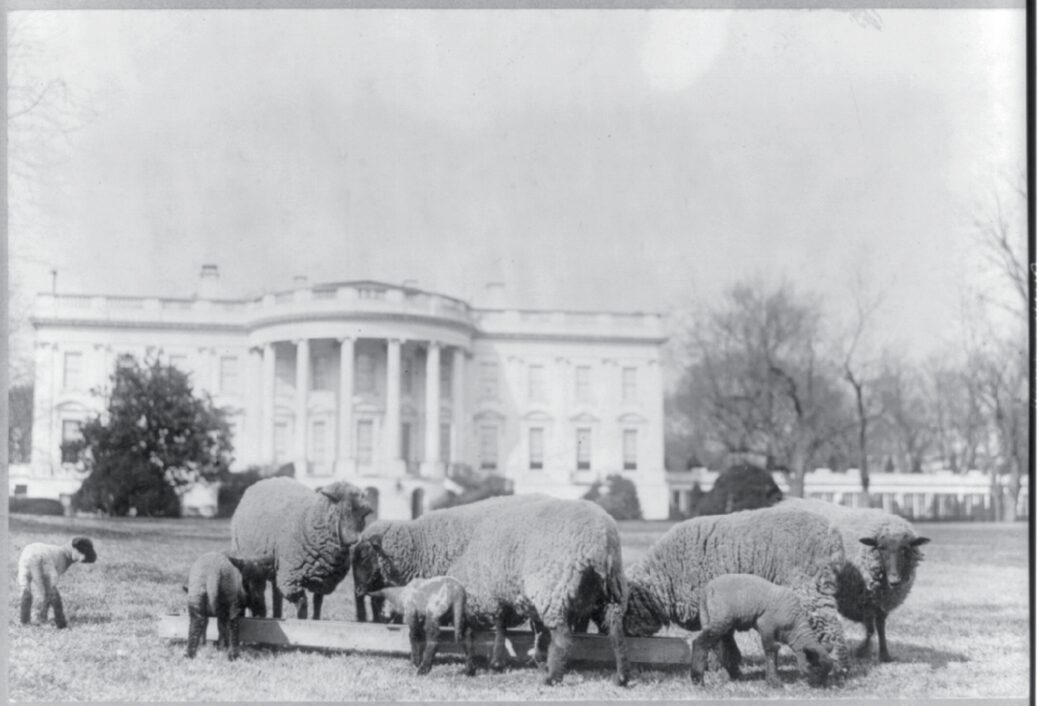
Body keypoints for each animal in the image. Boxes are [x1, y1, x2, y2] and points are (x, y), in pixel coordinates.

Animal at [229, 478, 372, 619]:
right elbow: (302, 604)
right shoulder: (291, 579)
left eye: (365, 514)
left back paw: (277, 615)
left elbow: (317, 604)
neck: (310, 519)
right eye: (345, 509)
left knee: (276, 593)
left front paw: (315, 620)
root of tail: (264, 480)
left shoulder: (322, 581)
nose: (355, 540)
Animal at [349, 494, 628, 686]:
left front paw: (494, 661)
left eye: (364, 556)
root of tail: (602, 541)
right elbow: (499, 625)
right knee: (615, 634)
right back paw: (620, 677)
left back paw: (552, 677)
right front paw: (498, 660)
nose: (358, 591)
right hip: (609, 594)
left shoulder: (486, 591)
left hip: (552, 589)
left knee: (562, 638)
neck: (424, 544)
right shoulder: (496, 592)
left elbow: (495, 626)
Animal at [690, 573, 836, 686]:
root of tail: (707, 589)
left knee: (721, 646)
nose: (819, 685)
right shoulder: (766, 625)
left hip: (714, 619)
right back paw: (698, 679)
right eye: (816, 668)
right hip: (721, 619)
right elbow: (770, 650)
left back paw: (733, 673)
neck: (794, 625)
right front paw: (774, 682)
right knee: (701, 642)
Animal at [777, 497, 931, 661]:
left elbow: (880, 628)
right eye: (881, 547)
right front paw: (863, 651)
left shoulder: (881, 602)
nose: (894, 580)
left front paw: (884, 654)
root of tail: (784, 502)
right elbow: (870, 629)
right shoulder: (865, 601)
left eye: (905, 549)